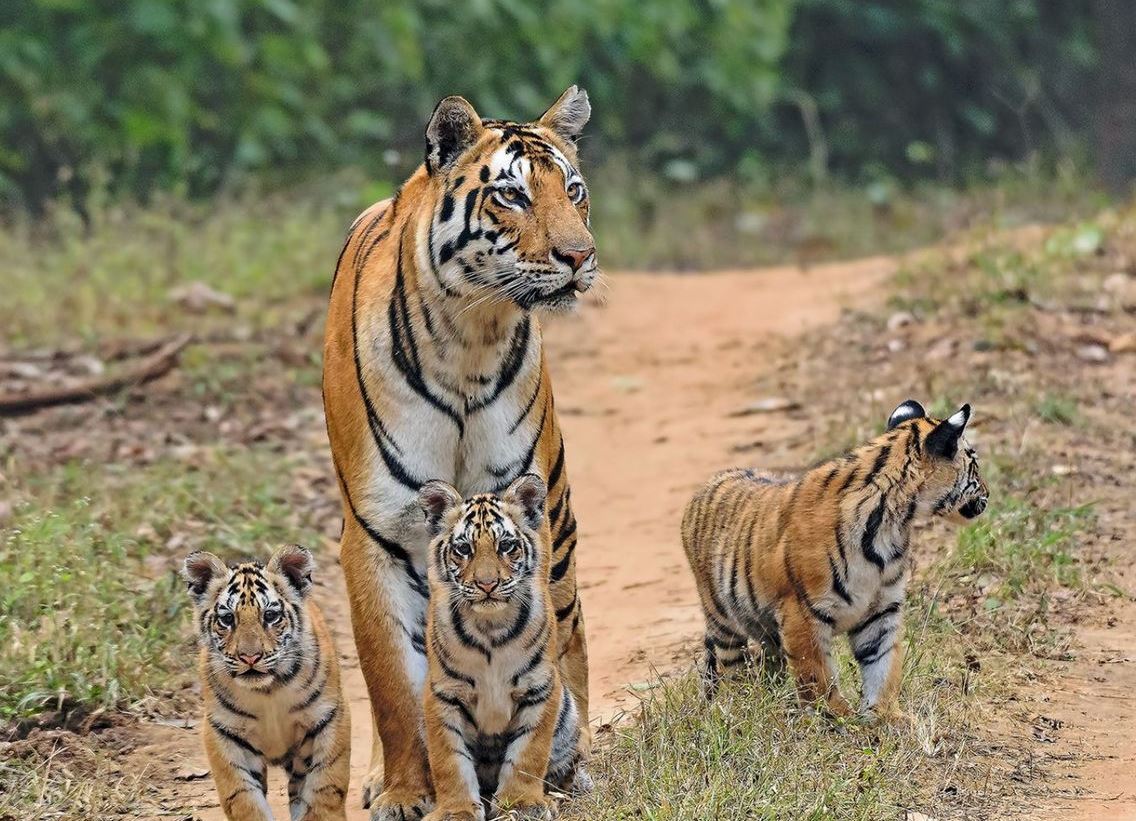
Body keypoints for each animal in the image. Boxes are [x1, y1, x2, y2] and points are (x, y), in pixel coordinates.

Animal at [182, 544, 351, 821]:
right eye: (227, 619)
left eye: (270, 616)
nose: (250, 657)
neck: (267, 691)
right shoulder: (225, 731)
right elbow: (242, 796)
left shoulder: (327, 718)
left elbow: (324, 788)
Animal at [417, 475, 583, 821]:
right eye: (463, 549)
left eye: (506, 546)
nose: (487, 584)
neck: (489, 628)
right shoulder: (442, 694)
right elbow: (449, 761)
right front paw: (455, 811)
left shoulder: (540, 687)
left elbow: (528, 753)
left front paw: (522, 803)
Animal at [682, 399, 989, 720]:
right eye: (975, 466)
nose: (988, 494)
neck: (894, 522)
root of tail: (708, 484)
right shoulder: (801, 612)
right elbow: (815, 675)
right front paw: (835, 717)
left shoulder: (882, 608)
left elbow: (883, 664)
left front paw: (885, 716)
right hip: (723, 622)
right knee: (731, 670)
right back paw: (740, 707)